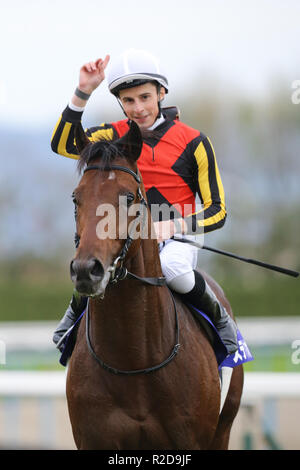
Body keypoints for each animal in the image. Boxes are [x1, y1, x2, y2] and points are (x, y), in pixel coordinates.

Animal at [65, 120, 244, 448]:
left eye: (128, 196)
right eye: (76, 197)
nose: (86, 270)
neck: (134, 360)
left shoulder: (191, 440)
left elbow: (216, 205)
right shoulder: (94, 438)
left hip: (224, 427)